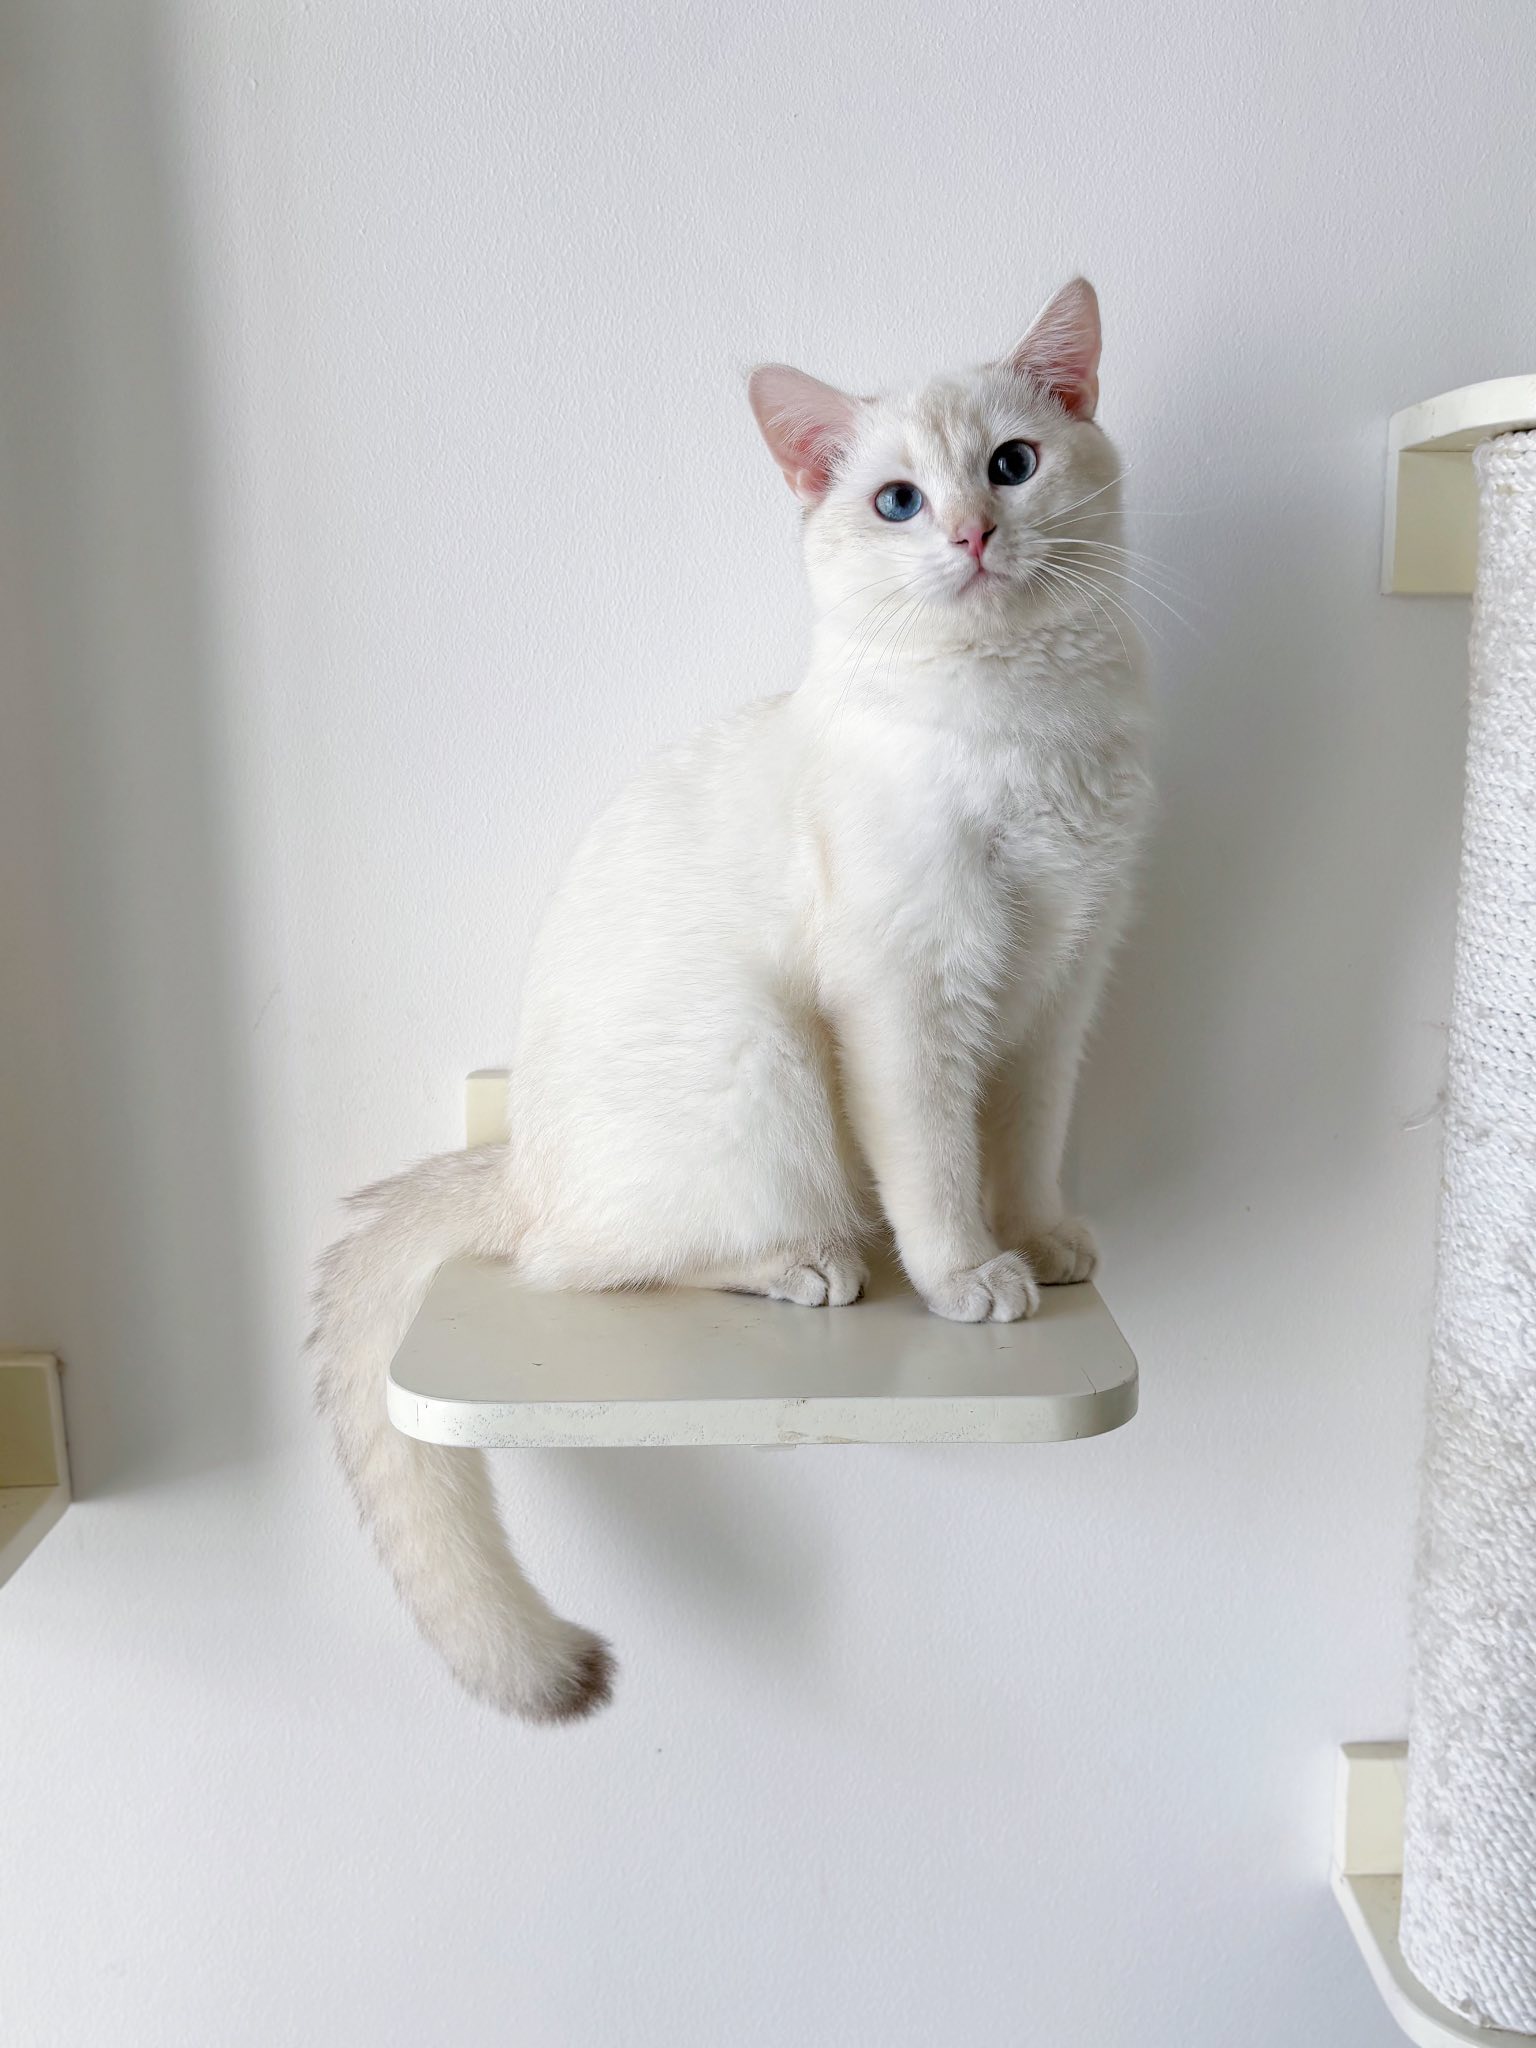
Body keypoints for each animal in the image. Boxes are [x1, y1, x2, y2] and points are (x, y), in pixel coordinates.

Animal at [311, 278, 1152, 1723]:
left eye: (1012, 464)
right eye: (896, 501)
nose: (973, 532)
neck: (1019, 721)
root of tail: (516, 1159)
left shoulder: (1062, 980)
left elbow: (1024, 1144)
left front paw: (1038, 1238)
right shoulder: (910, 995)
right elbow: (940, 1170)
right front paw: (969, 1276)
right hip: (762, 1067)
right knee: (591, 1261)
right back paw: (802, 1265)